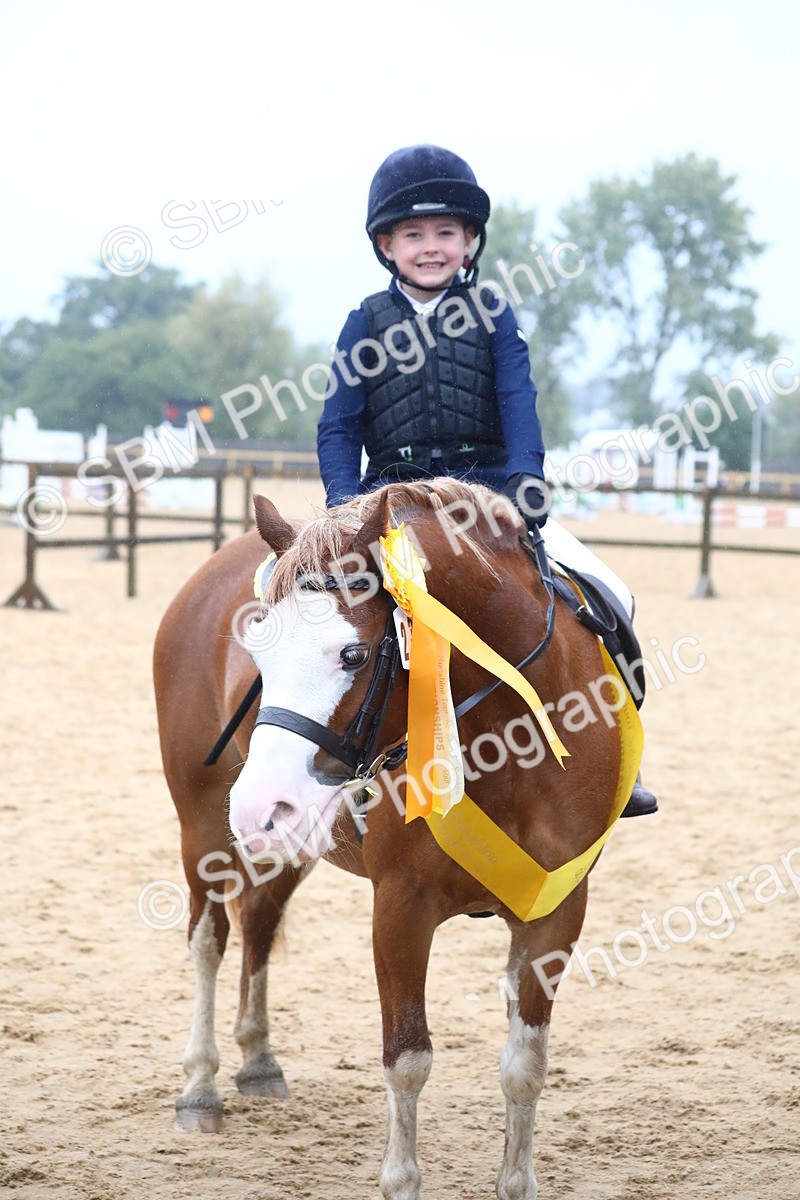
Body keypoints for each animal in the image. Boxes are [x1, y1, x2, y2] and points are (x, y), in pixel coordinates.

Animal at [153, 478, 630, 1200]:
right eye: (257, 651)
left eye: (352, 653)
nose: (258, 805)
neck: (510, 740)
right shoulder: (401, 908)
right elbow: (407, 1061)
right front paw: (402, 1179)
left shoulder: (556, 911)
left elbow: (525, 1064)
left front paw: (516, 1180)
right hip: (205, 822)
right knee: (210, 937)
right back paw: (200, 1089)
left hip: (293, 836)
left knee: (260, 920)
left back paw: (258, 1061)